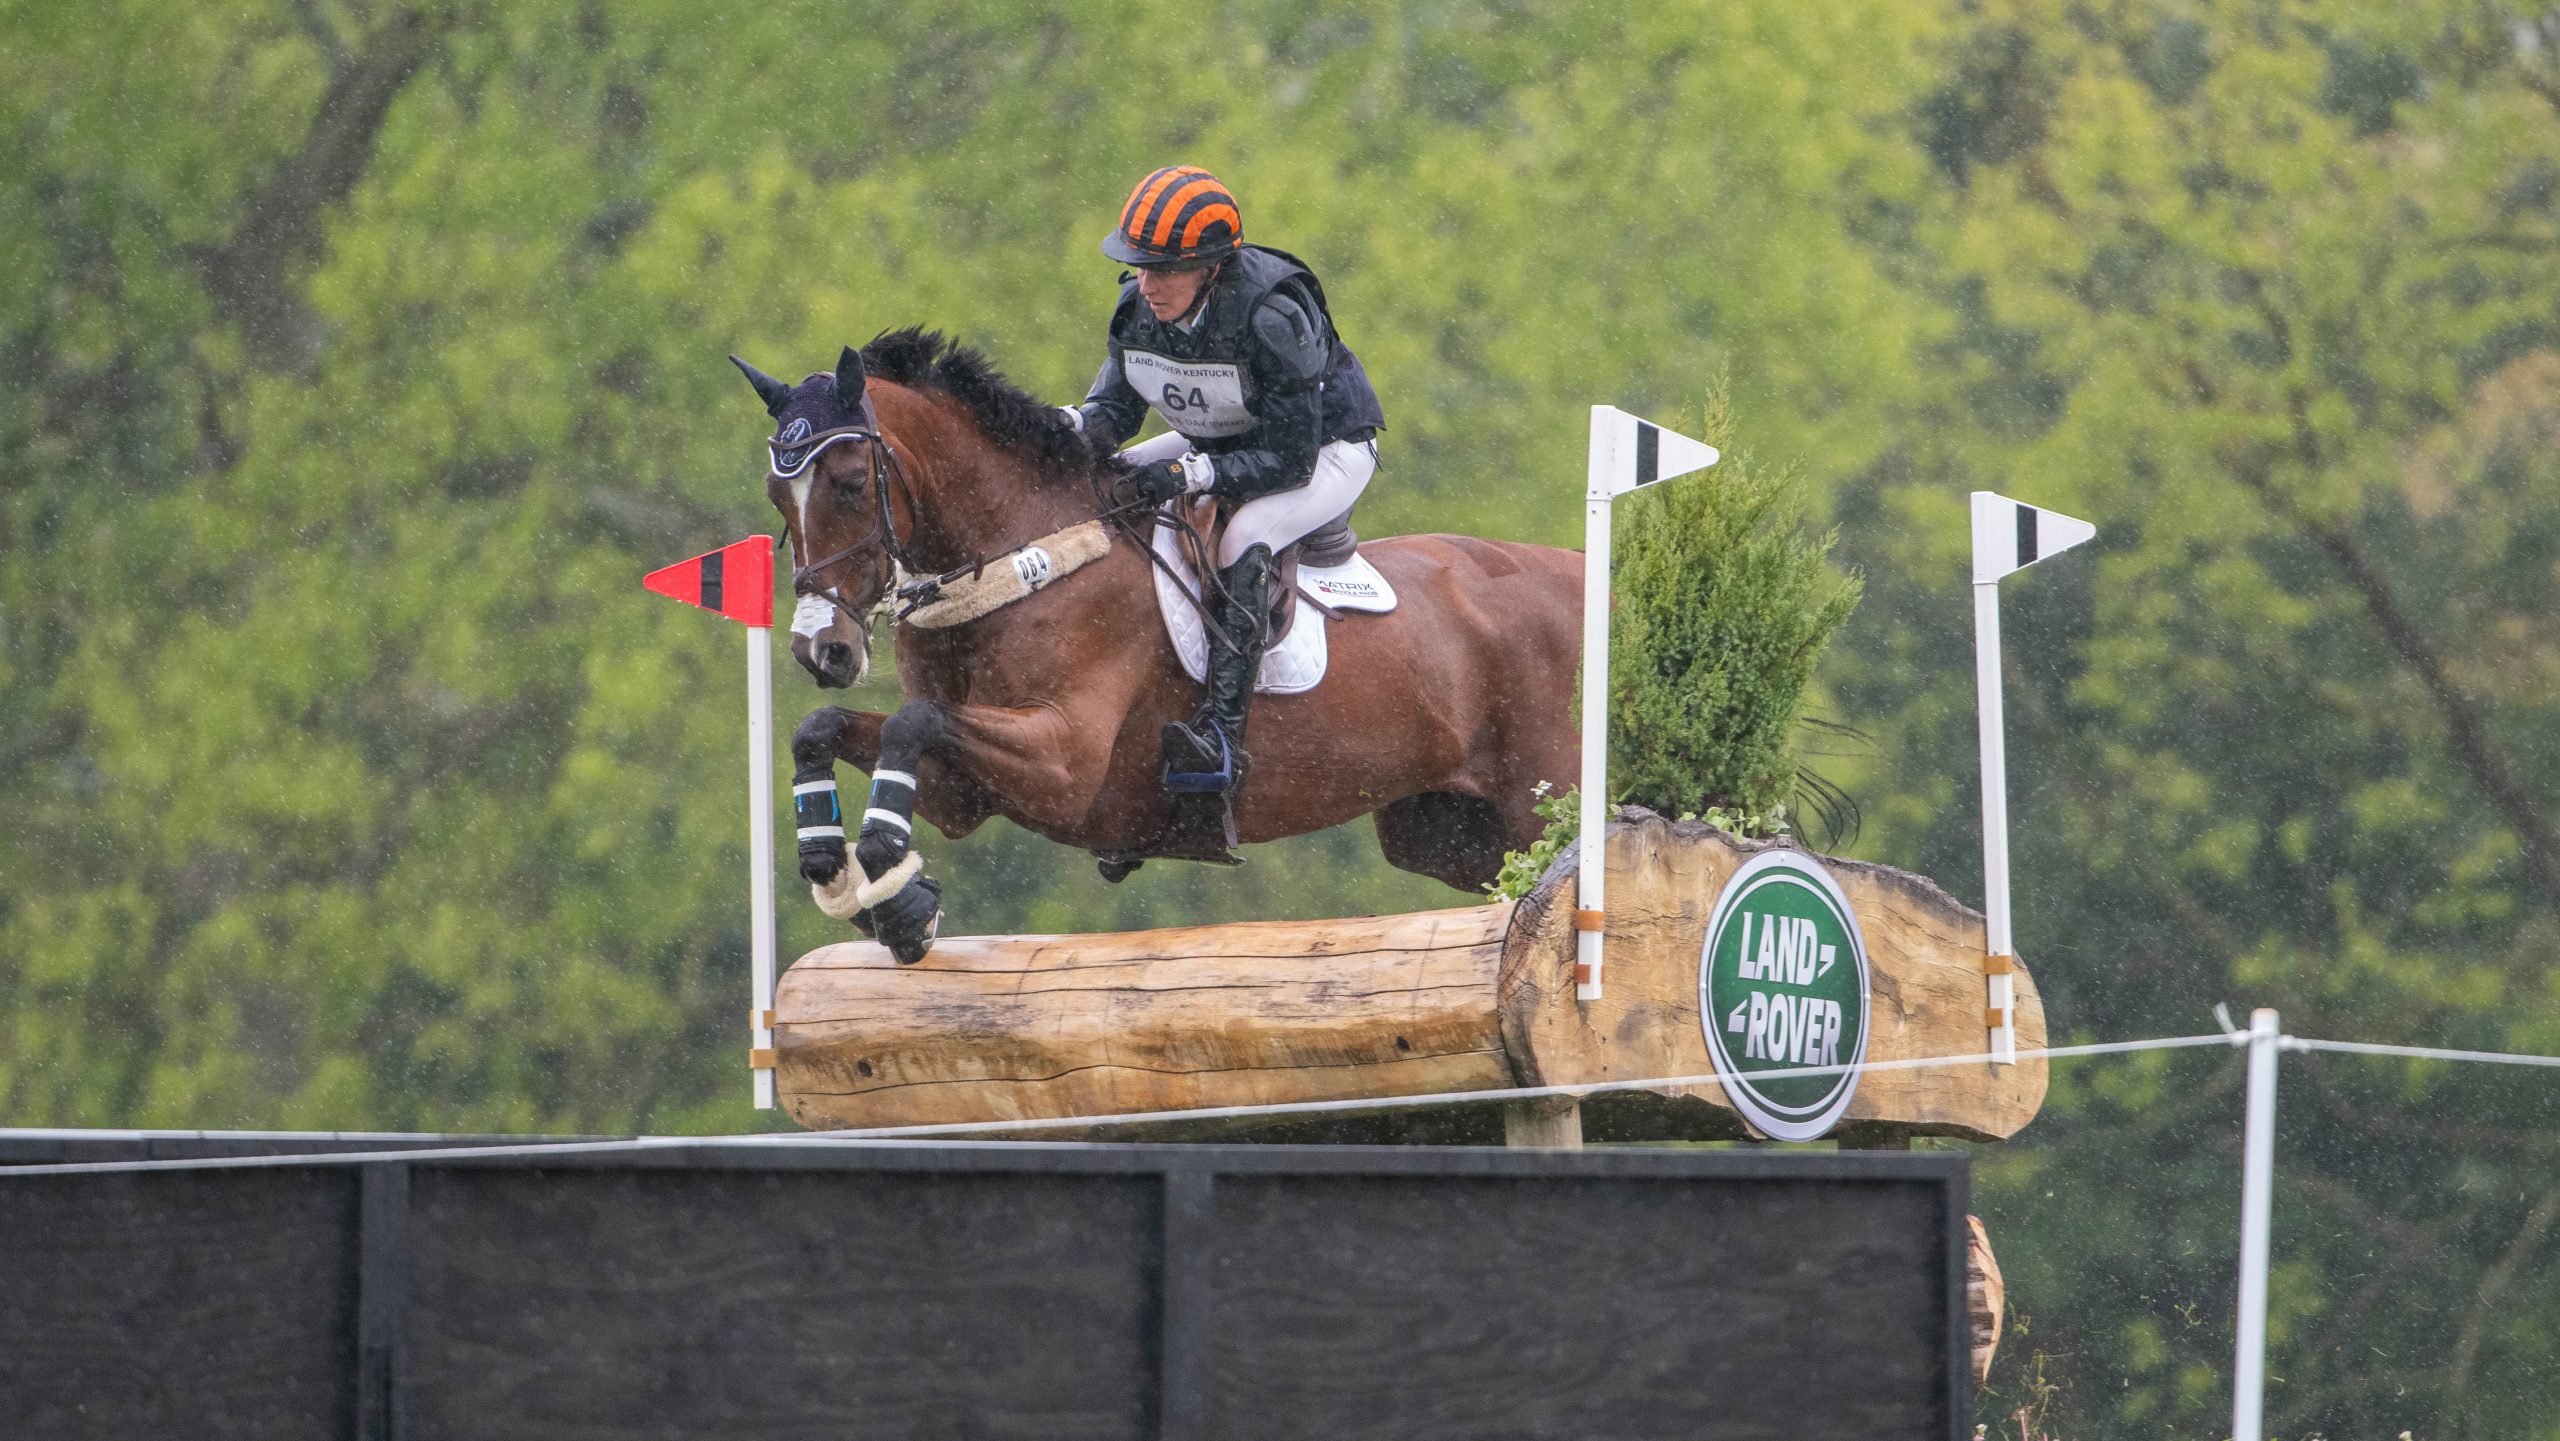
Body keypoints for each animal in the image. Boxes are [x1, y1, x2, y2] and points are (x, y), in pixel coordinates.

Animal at [736, 330, 1582, 961]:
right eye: (778, 494)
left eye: (850, 481)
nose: (822, 650)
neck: (1019, 557)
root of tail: (1582, 577)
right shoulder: (959, 792)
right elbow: (827, 730)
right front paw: (844, 873)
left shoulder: (1063, 763)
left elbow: (915, 724)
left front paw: (889, 877)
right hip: (1448, 834)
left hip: (1540, 804)